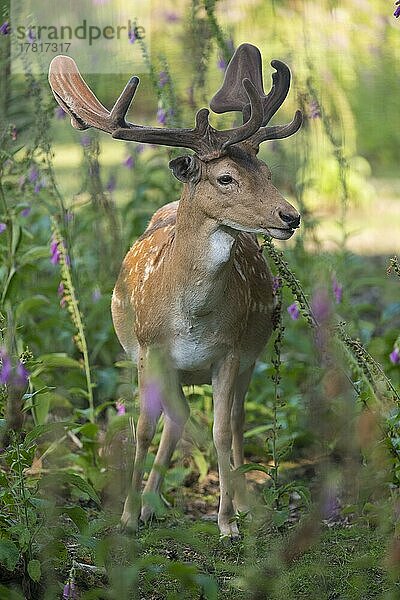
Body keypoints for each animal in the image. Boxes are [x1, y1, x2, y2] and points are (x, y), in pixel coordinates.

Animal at [48, 44, 302, 536]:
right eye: (225, 177)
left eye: (265, 170)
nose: (290, 216)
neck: (191, 318)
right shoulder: (151, 351)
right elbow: (144, 429)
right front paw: (127, 517)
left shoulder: (230, 352)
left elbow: (220, 430)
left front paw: (228, 522)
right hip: (165, 365)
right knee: (176, 418)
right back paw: (149, 505)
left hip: (249, 357)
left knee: (234, 421)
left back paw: (243, 502)